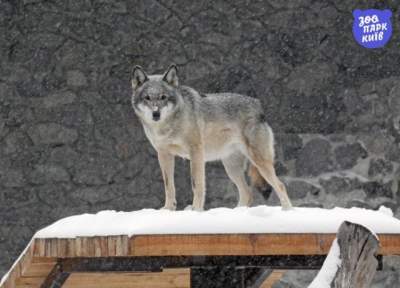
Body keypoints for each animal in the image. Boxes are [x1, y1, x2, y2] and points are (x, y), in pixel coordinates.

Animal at [130, 64, 290, 210]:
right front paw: (168, 209)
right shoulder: (164, 154)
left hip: (259, 162)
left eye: (163, 97)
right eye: (147, 98)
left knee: (280, 185)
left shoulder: (196, 152)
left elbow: (197, 185)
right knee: (247, 193)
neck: (168, 125)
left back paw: (287, 210)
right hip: (231, 168)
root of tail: (259, 106)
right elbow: (169, 186)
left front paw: (195, 210)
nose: (156, 114)